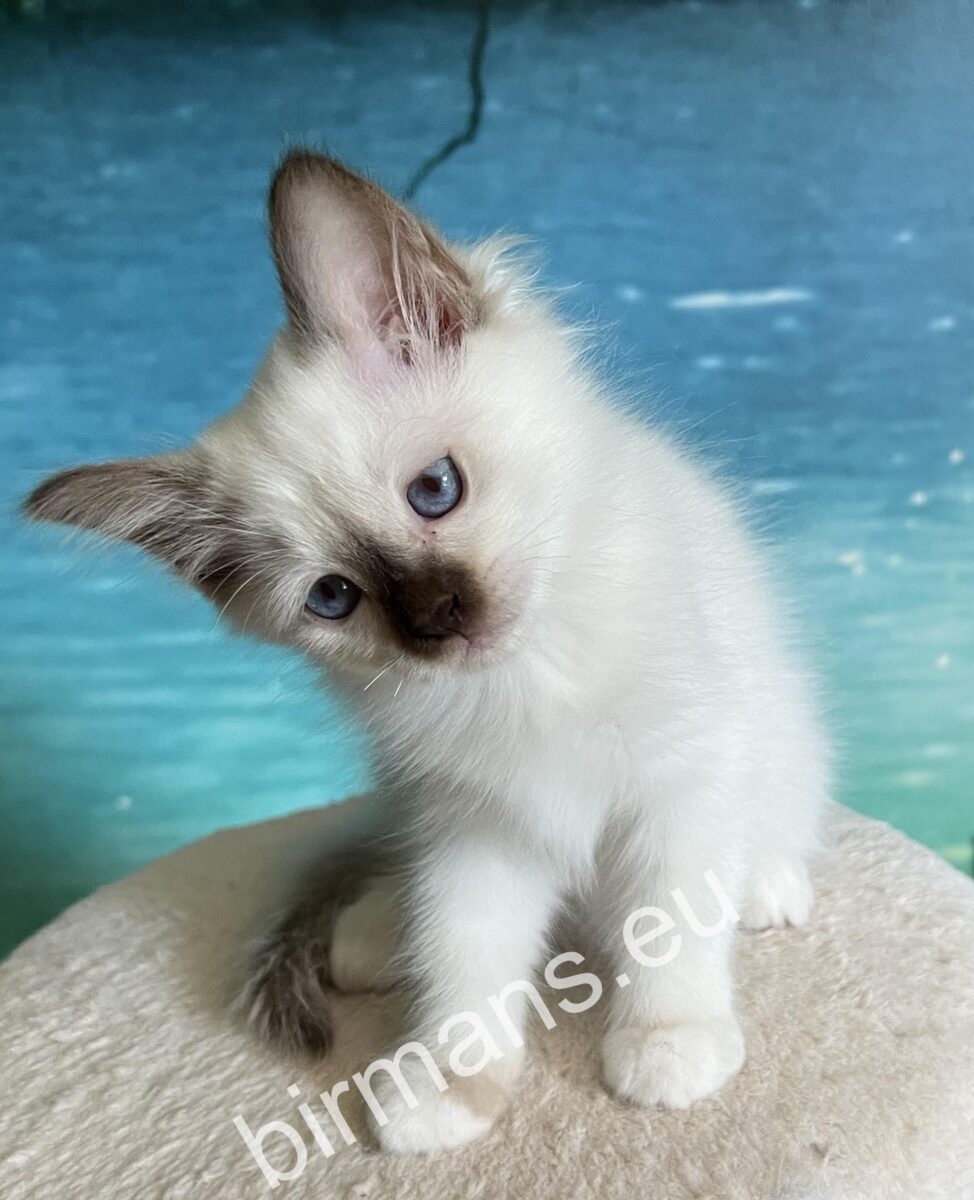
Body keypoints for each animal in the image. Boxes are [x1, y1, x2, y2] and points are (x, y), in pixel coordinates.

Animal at [26, 150, 829, 1155]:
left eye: (435, 492)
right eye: (335, 598)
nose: (439, 618)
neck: (520, 684)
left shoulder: (678, 779)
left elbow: (666, 923)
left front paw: (669, 1047)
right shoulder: (478, 828)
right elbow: (463, 957)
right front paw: (449, 1087)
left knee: (768, 830)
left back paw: (767, 886)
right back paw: (375, 936)